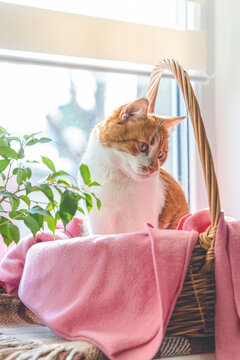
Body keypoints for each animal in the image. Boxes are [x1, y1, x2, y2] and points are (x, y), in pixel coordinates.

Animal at [80, 97, 189, 235]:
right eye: (142, 146)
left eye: (160, 154)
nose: (154, 169)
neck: (117, 179)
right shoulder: (98, 221)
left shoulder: (140, 222)